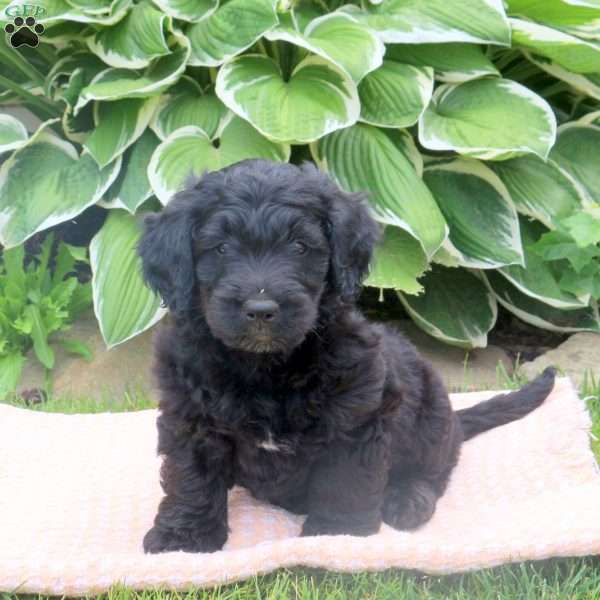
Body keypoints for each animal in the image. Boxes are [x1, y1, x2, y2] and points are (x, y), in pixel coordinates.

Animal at [138, 159, 556, 552]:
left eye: (300, 247)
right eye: (221, 248)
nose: (260, 310)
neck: (266, 365)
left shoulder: (355, 419)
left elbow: (345, 480)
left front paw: (337, 533)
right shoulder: (191, 416)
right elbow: (192, 477)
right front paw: (184, 536)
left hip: (431, 414)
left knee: (435, 469)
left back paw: (409, 499)